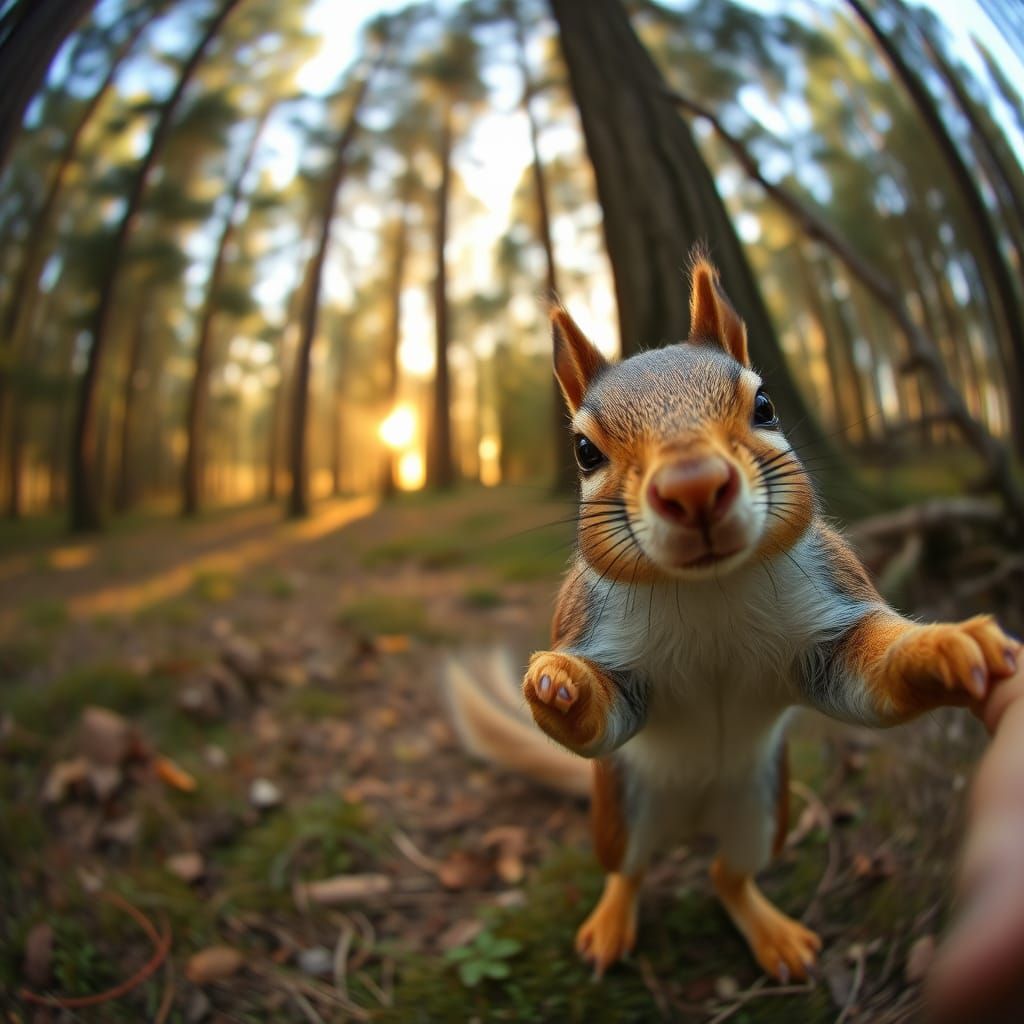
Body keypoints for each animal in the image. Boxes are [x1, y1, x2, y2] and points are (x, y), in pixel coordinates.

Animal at [444, 253, 1021, 983]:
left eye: (765, 404)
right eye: (584, 451)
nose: (693, 487)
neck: (710, 591)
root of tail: (695, 817)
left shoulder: (829, 627)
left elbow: (870, 680)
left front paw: (944, 650)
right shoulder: (603, 644)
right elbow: (605, 718)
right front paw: (559, 685)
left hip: (764, 809)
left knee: (728, 875)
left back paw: (773, 933)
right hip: (621, 811)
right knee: (629, 871)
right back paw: (611, 922)